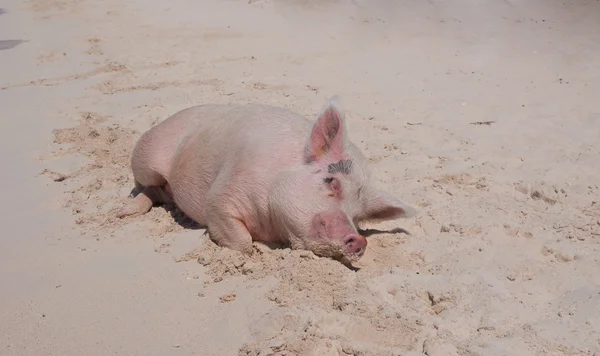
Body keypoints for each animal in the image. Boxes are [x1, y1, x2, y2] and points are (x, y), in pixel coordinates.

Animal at [117, 97, 418, 264]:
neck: (271, 224)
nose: (360, 240)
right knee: (147, 185)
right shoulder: (223, 195)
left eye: (358, 216)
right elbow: (241, 242)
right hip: (146, 157)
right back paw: (122, 213)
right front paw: (254, 249)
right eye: (331, 182)